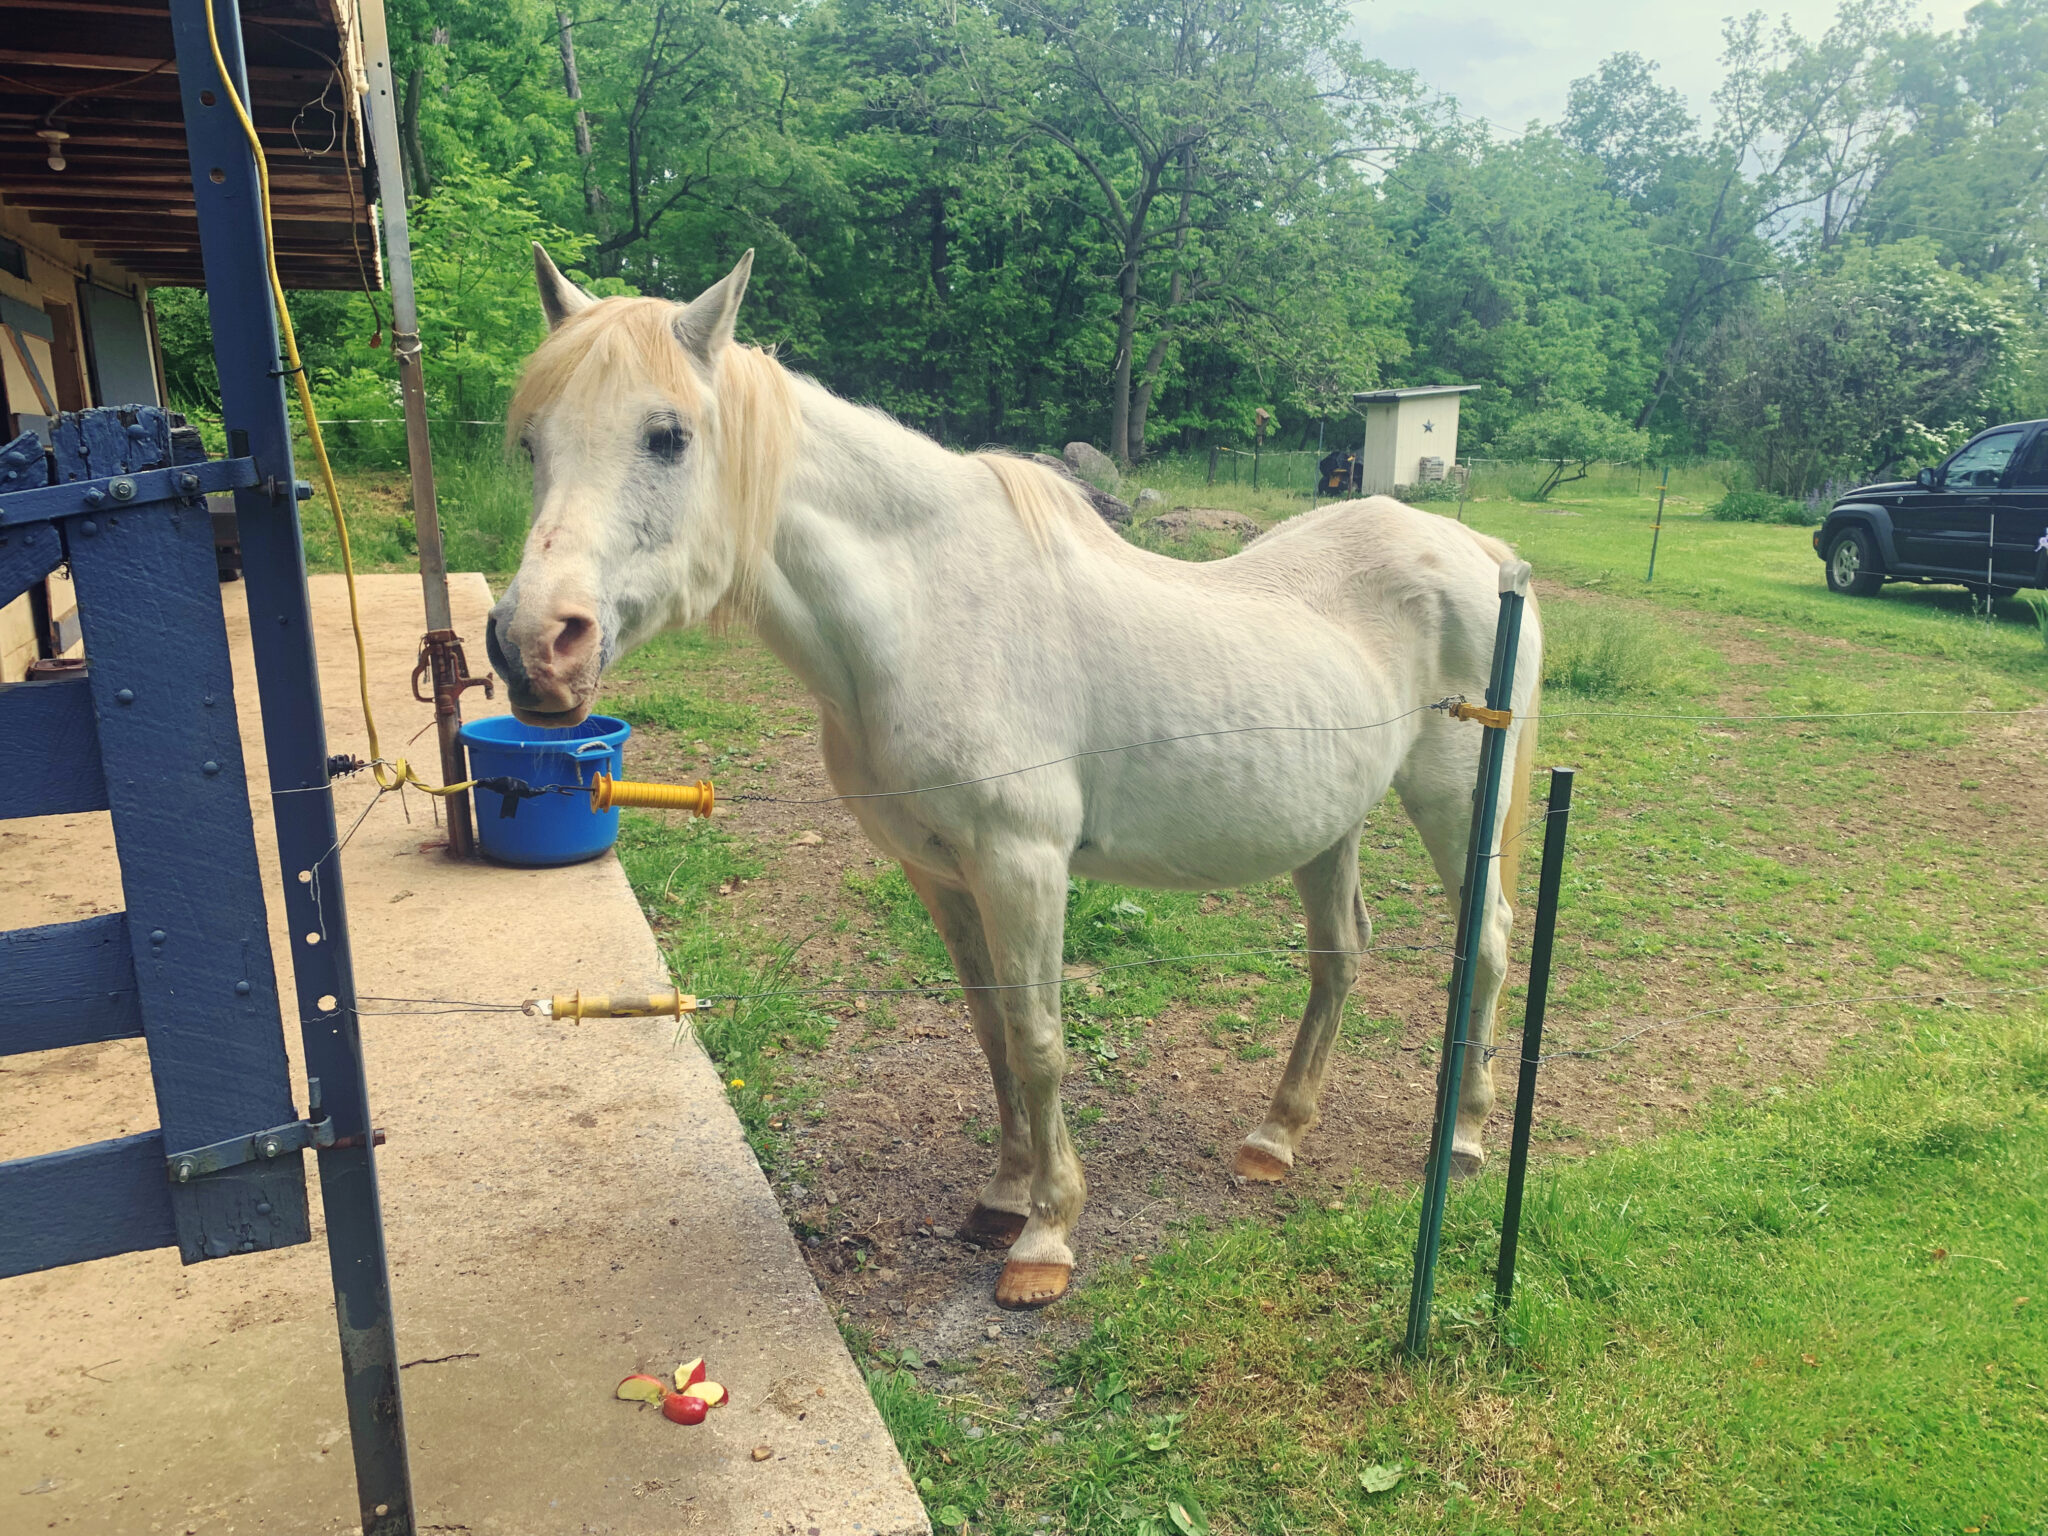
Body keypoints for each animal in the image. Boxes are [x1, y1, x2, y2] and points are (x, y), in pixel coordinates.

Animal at [488, 247, 1542, 1310]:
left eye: (667, 436)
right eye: (530, 442)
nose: (534, 645)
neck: (925, 613)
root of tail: (1480, 553)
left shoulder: (1021, 865)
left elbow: (1038, 1040)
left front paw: (1046, 1237)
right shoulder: (939, 871)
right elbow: (991, 1030)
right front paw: (1000, 1196)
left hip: (1457, 802)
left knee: (1490, 939)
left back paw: (1463, 1140)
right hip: (1331, 822)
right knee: (1339, 953)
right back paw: (1274, 1140)